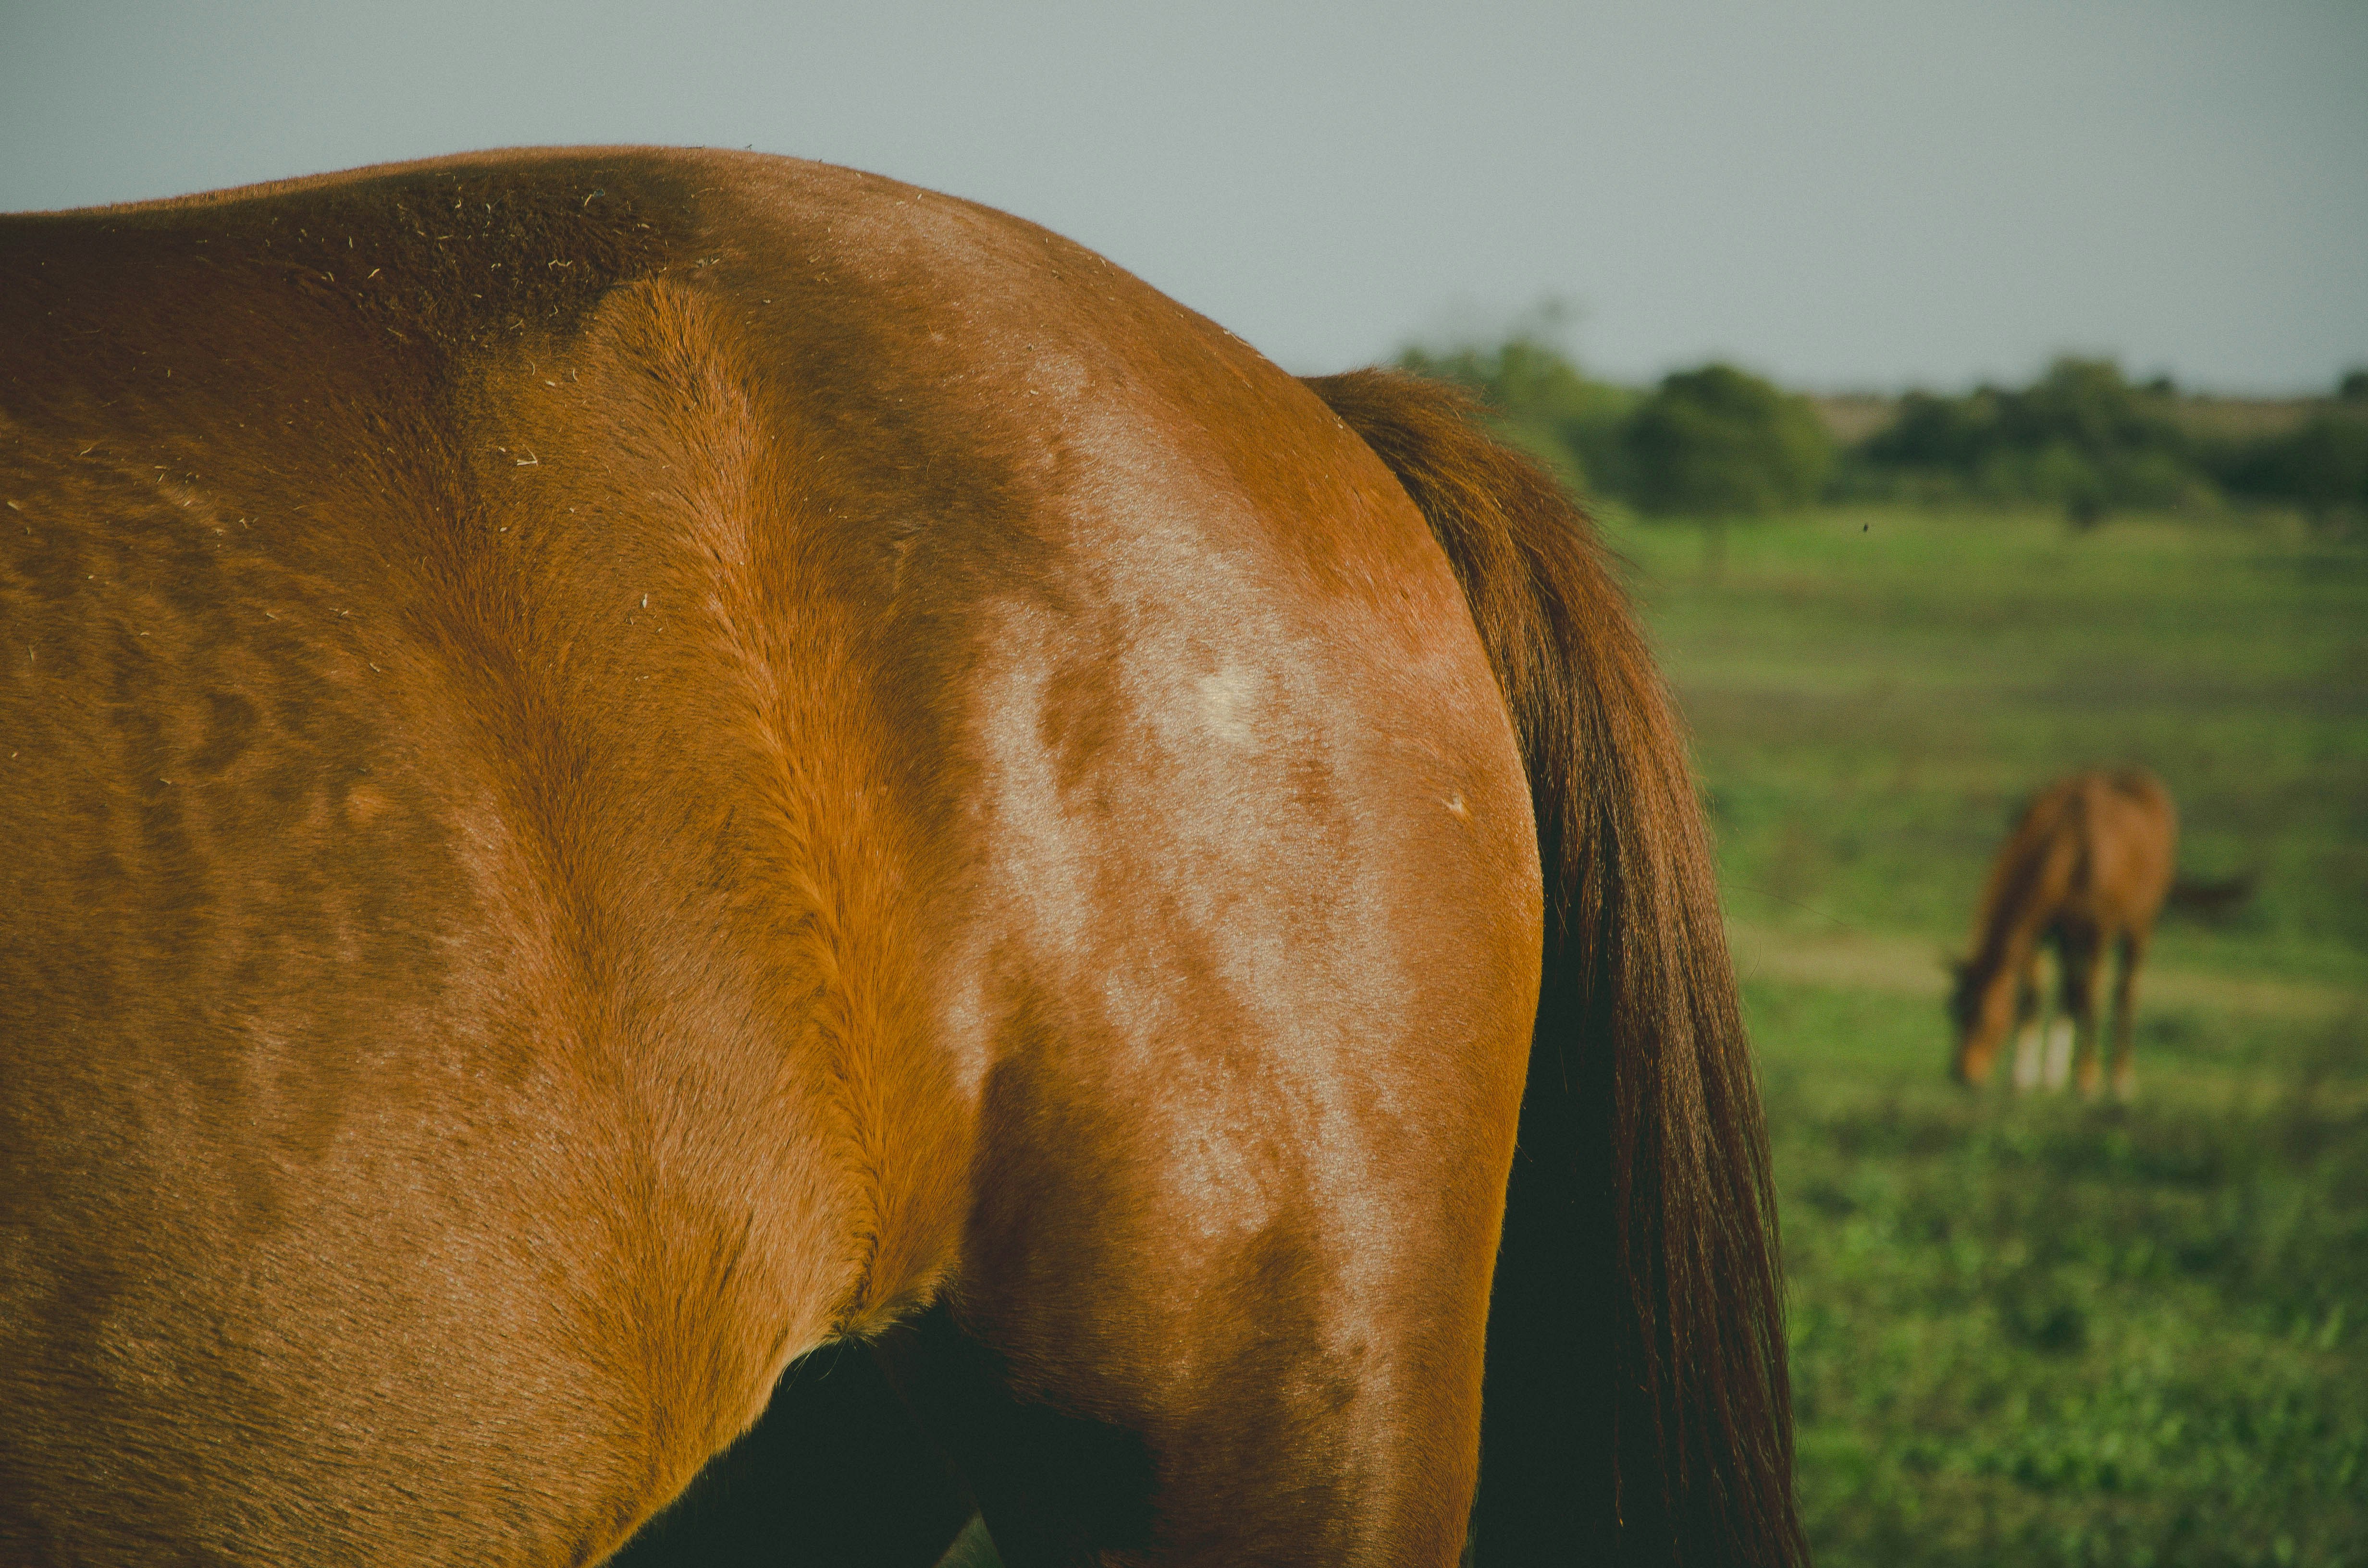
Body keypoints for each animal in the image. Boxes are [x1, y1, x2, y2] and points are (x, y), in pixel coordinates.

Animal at [1948, 768, 2181, 1096]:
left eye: (1985, 1018)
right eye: (1956, 1013)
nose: (1963, 1074)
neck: (2070, 845)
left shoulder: (2095, 934)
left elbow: (2090, 998)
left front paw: (2087, 1078)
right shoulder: (2043, 934)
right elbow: (2034, 998)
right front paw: (2024, 1076)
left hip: (2138, 928)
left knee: (2123, 993)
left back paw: (2120, 1078)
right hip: (2071, 941)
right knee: (2070, 991)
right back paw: (2054, 1074)